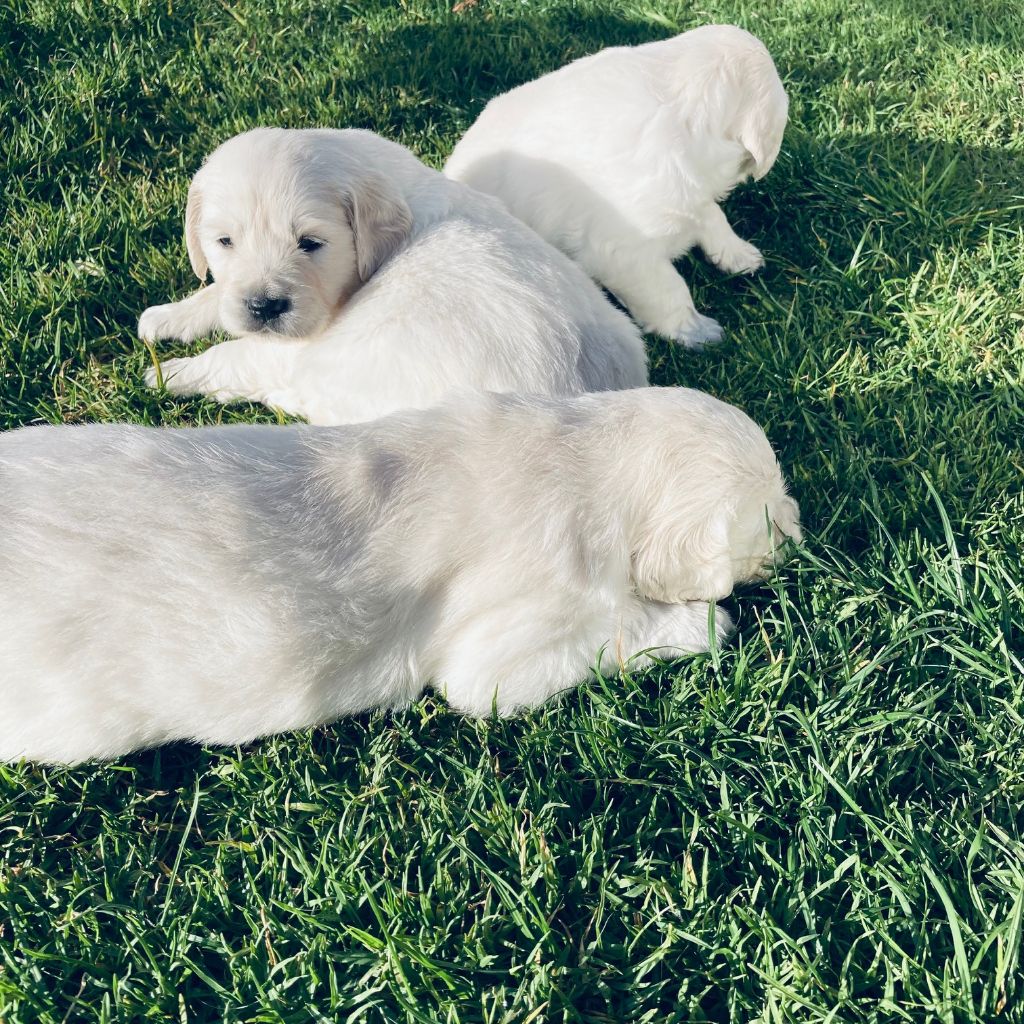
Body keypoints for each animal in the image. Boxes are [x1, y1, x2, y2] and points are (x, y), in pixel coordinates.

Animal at [0, 387, 798, 765]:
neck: (586, 452)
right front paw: (706, 620)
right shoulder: (503, 657)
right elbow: (620, 633)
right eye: (766, 515)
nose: (803, 528)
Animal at [138, 125, 647, 421]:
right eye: (224, 242)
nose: (264, 306)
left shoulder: (300, 344)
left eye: (311, 244)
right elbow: (217, 297)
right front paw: (167, 317)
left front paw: (169, 375)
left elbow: (234, 355)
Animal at [444, 24, 786, 348]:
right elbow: (669, 289)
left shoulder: (690, 196)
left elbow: (713, 215)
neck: (683, 111)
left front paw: (737, 253)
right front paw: (696, 331)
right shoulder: (626, 252)